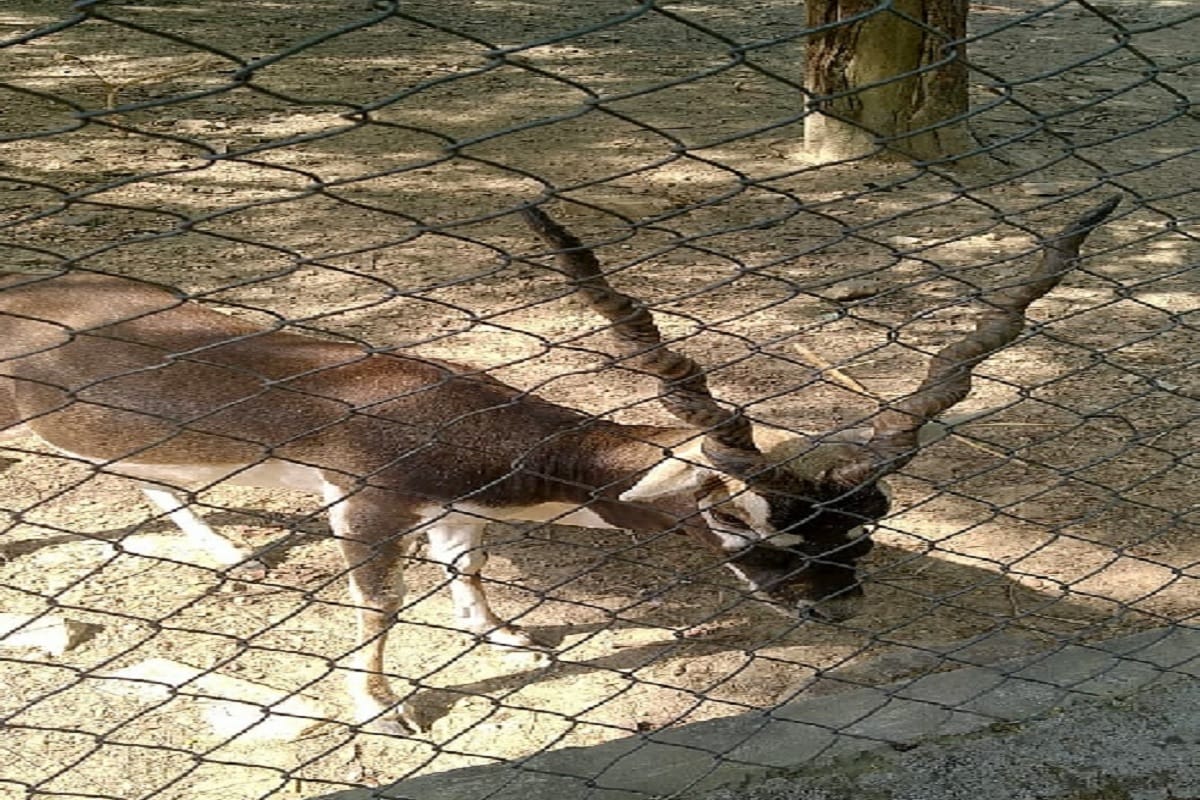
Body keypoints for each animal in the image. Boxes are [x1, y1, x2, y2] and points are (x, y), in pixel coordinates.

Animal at [0, 195, 1120, 734]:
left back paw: (229, 552)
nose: (831, 607)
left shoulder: (457, 509)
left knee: (152, 478)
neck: (460, 418)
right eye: (738, 518)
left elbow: (470, 568)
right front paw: (385, 706)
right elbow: (380, 607)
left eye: (865, 521)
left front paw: (503, 638)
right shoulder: (368, 500)